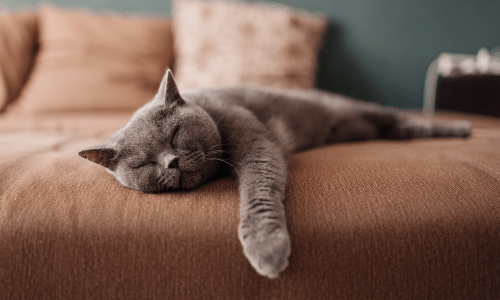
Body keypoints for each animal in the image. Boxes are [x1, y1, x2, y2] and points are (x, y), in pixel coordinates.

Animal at [79, 68, 472, 278]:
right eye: (144, 163)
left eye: (174, 134)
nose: (171, 162)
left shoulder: (255, 141)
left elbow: (258, 186)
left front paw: (266, 248)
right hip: (364, 128)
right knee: (401, 128)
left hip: (359, 110)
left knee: (402, 118)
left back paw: (462, 128)